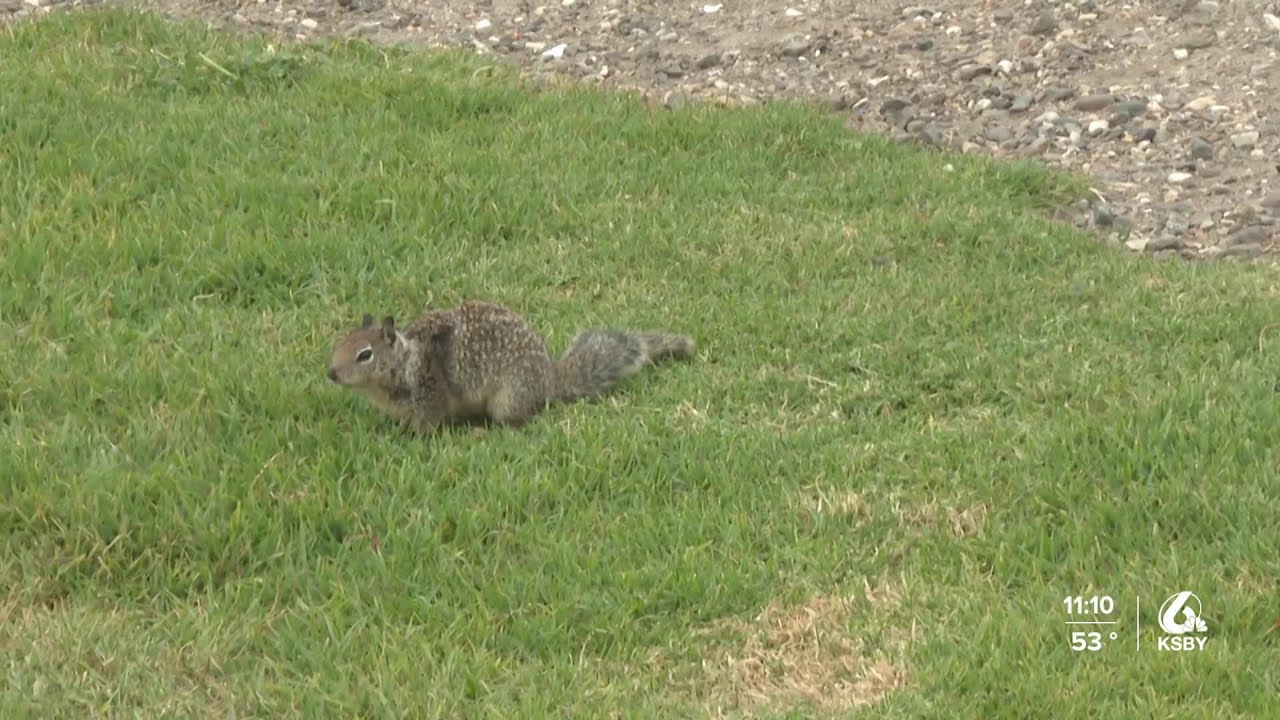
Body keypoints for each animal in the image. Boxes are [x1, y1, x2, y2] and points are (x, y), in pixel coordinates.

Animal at [326, 300, 695, 432]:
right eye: (341, 342)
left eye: (364, 355)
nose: (330, 373)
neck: (406, 363)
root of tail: (548, 379)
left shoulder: (429, 397)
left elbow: (428, 423)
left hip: (508, 398)